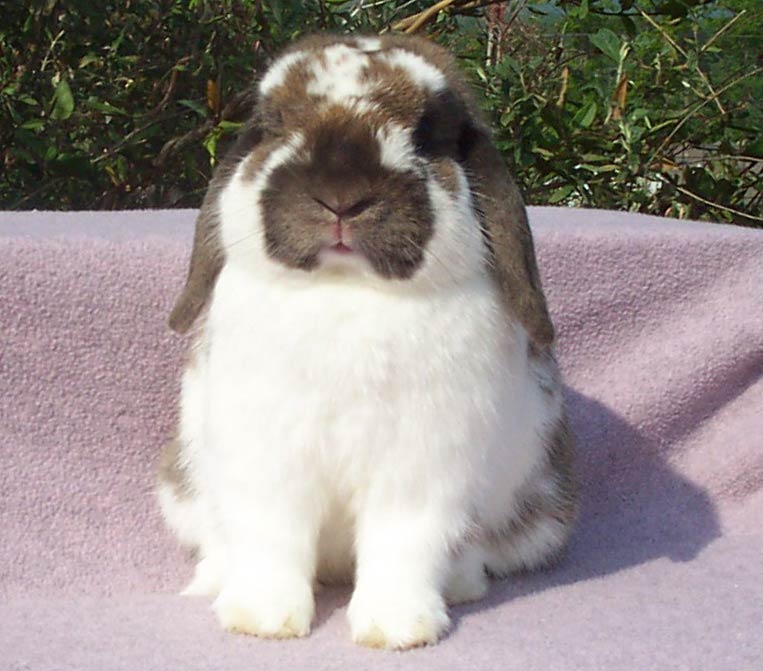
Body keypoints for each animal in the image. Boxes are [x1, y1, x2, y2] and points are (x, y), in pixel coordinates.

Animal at [156, 32, 577, 650]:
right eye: (274, 124)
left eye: (429, 133)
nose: (341, 197)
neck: (347, 289)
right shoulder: (267, 463)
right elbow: (271, 540)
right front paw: (261, 621)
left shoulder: (420, 473)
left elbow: (403, 547)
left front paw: (397, 630)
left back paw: (459, 587)